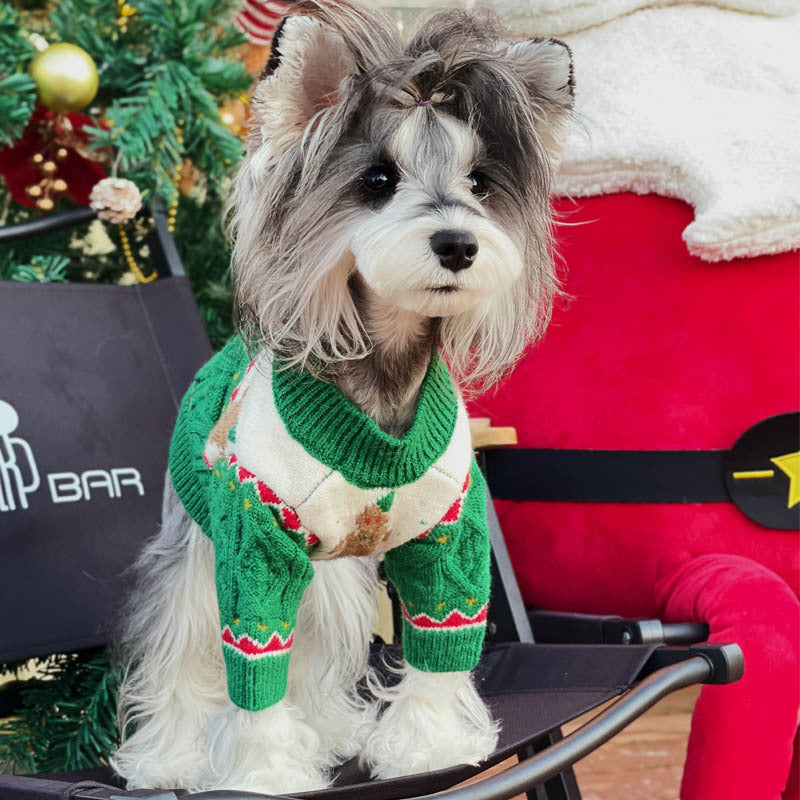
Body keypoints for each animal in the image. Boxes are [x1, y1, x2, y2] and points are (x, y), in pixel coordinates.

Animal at [112, 1, 576, 792]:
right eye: (378, 179)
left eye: (480, 182)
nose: (457, 244)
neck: (383, 380)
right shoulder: (254, 540)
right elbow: (253, 662)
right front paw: (264, 772)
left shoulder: (448, 536)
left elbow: (440, 644)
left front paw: (426, 745)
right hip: (197, 548)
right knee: (186, 650)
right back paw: (170, 757)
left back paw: (329, 730)